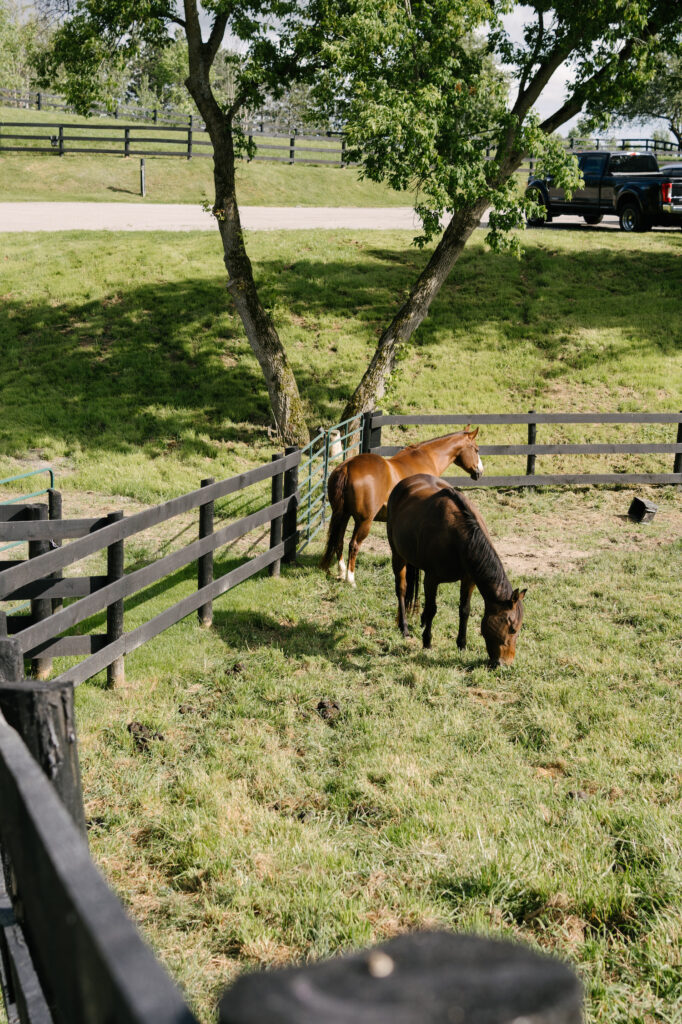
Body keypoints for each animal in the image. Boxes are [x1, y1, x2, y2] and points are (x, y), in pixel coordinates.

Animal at [319, 425, 483, 585]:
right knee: (353, 545)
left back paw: (341, 573)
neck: (427, 459)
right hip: (364, 521)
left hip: (343, 515)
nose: (480, 472)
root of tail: (347, 467)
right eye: (476, 449)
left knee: (338, 541)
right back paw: (350, 579)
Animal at [385, 473, 522, 667]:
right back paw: (404, 627)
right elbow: (432, 608)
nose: (505, 663)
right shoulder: (432, 579)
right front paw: (427, 642)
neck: (460, 538)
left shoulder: (469, 579)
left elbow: (464, 610)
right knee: (402, 590)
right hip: (398, 555)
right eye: (512, 628)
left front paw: (462, 644)